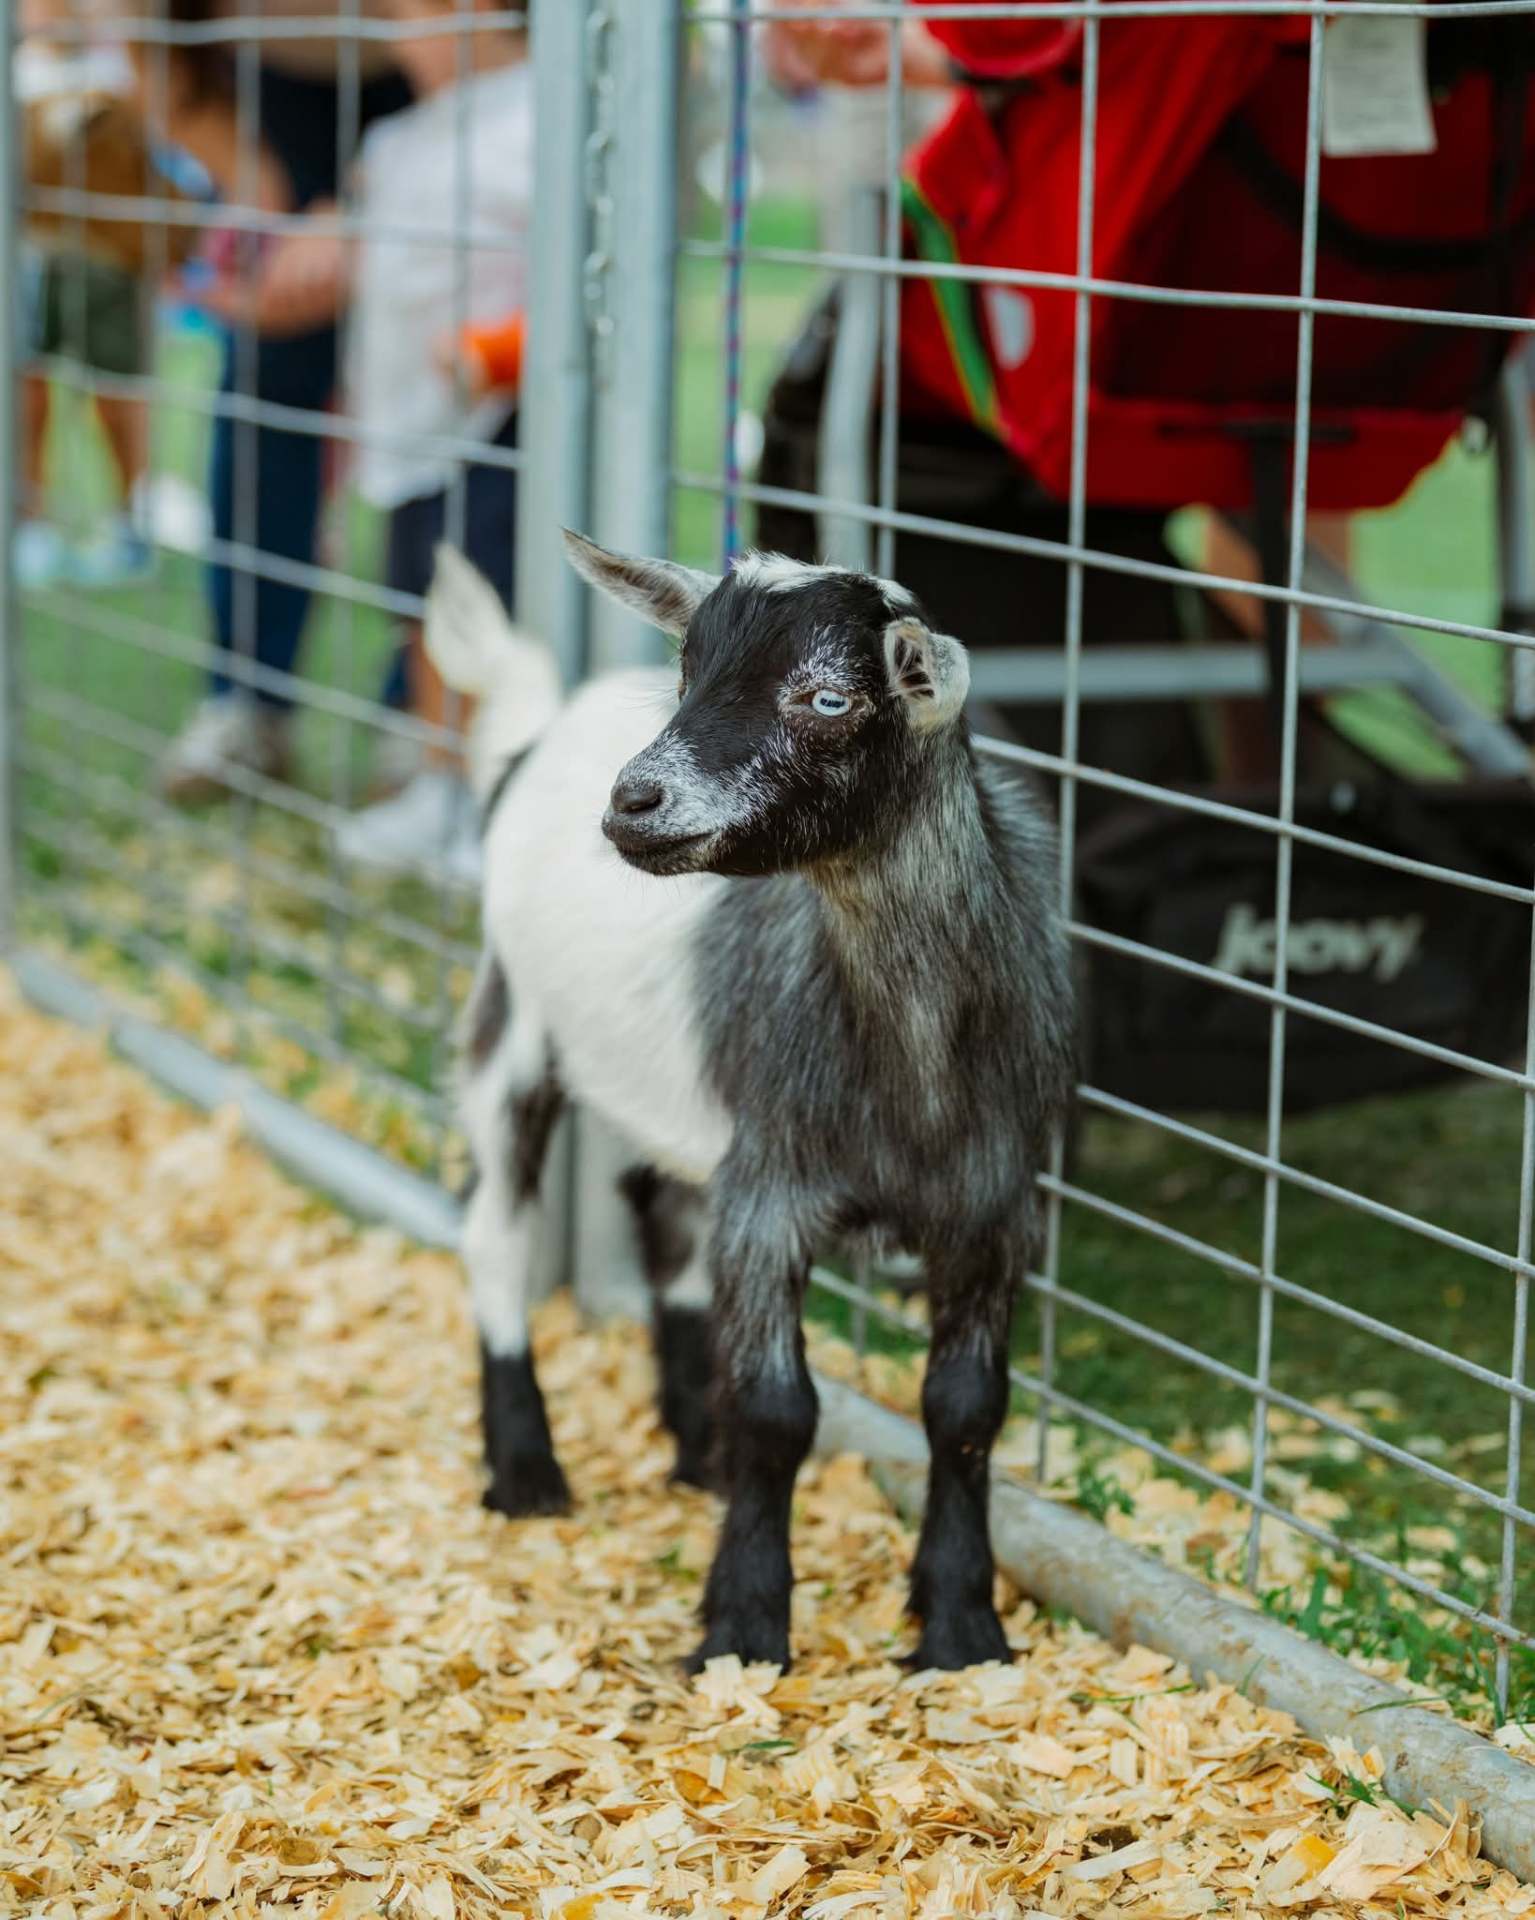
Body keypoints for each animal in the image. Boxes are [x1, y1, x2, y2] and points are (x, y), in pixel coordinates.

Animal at [427, 535, 1076, 1671]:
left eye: (826, 697)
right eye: (687, 674)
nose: (633, 803)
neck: (908, 1065)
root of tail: (536, 727)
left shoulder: (992, 1208)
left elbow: (964, 1409)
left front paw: (960, 1626)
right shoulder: (771, 1190)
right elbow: (778, 1410)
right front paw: (742, 1627)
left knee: (666, 1222)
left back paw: (696, 1450)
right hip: (510, 1016)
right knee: (496, 1233)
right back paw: (527, 1472)